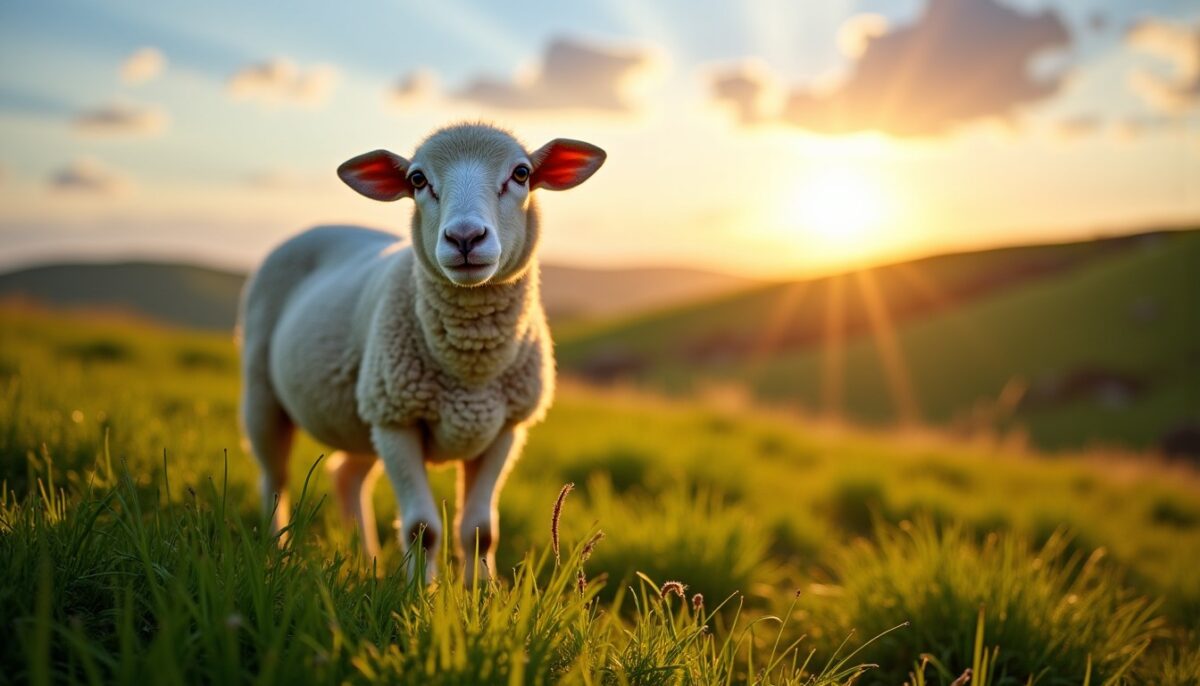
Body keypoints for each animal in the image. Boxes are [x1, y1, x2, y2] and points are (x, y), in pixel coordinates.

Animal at [237, 123, 605, 580]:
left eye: (521, 173)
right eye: (417, 180)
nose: (465, 238)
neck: (470, 368)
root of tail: (320, 227)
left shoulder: (505, 428)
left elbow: (481, 530)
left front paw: (480, 592)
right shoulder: (398, 421)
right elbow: (422, 529)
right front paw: (419, 594)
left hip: (362, 419)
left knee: (346, 476)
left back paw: (367, 562)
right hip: (267, 392)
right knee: (275, 480)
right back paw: (276, 553)